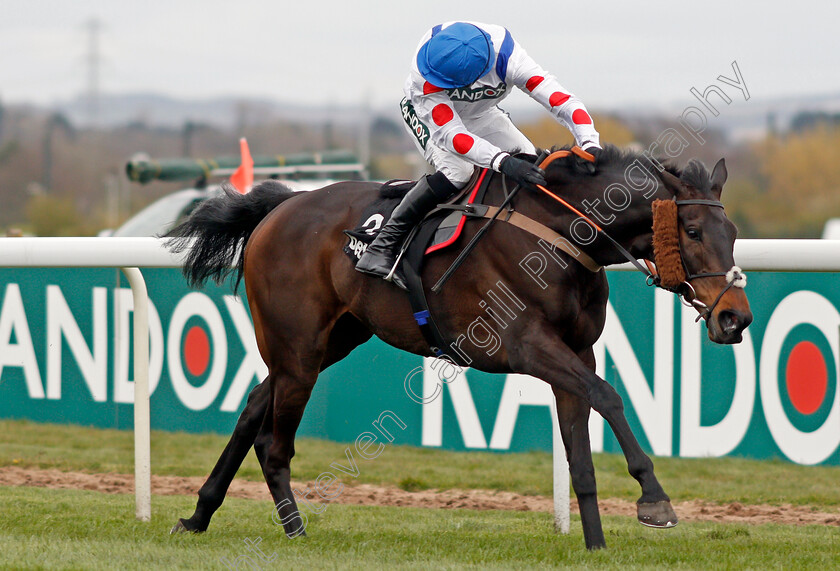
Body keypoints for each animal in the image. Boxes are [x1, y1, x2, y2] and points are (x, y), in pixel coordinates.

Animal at [164, 145, 748, 552]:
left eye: (733, 231)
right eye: (692, 230)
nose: (734, 317)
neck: (562, 233)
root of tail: (283, 205)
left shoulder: (577, 353)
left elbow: (580, 454)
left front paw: (596, 545)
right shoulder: (526, 346)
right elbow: (609, 397)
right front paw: (654, 499)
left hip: (329, 342)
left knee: (251, 408)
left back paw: (198, 515)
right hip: (300, 348)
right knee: (273, 442)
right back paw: (294, 531)